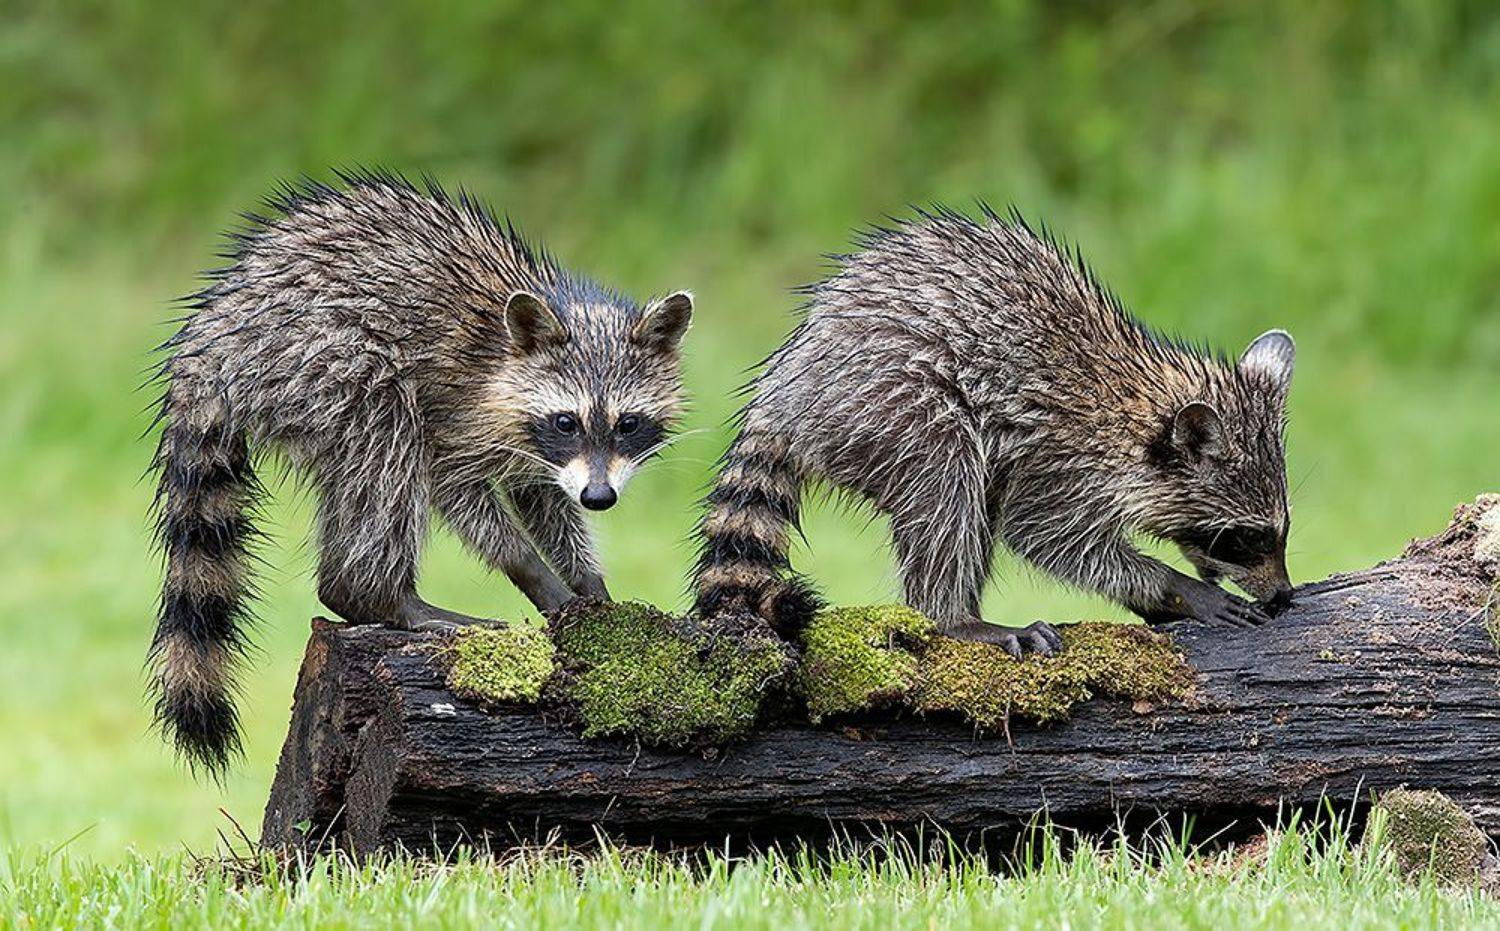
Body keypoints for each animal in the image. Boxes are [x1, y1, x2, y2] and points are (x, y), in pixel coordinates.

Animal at [149, 171, 692, 772]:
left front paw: (587, 581)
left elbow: (542, 499)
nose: (599, 497)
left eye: (628, 423)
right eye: (567, 421)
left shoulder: (542, 456)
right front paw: (535, 572)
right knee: (388, 443)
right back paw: (376, 595)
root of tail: (209, 343)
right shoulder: (465, 416)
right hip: (323, 357)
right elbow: (456, 488)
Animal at [694, 207, 1294, 654]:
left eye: (1280, 531)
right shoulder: (1063, 456)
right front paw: (1174, 586)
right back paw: (953, 618)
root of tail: (787, 386)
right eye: (1245, 538)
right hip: (891, 404)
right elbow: (1047, 536)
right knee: (946, 484)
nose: (1285, 597)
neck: (1135, 405)